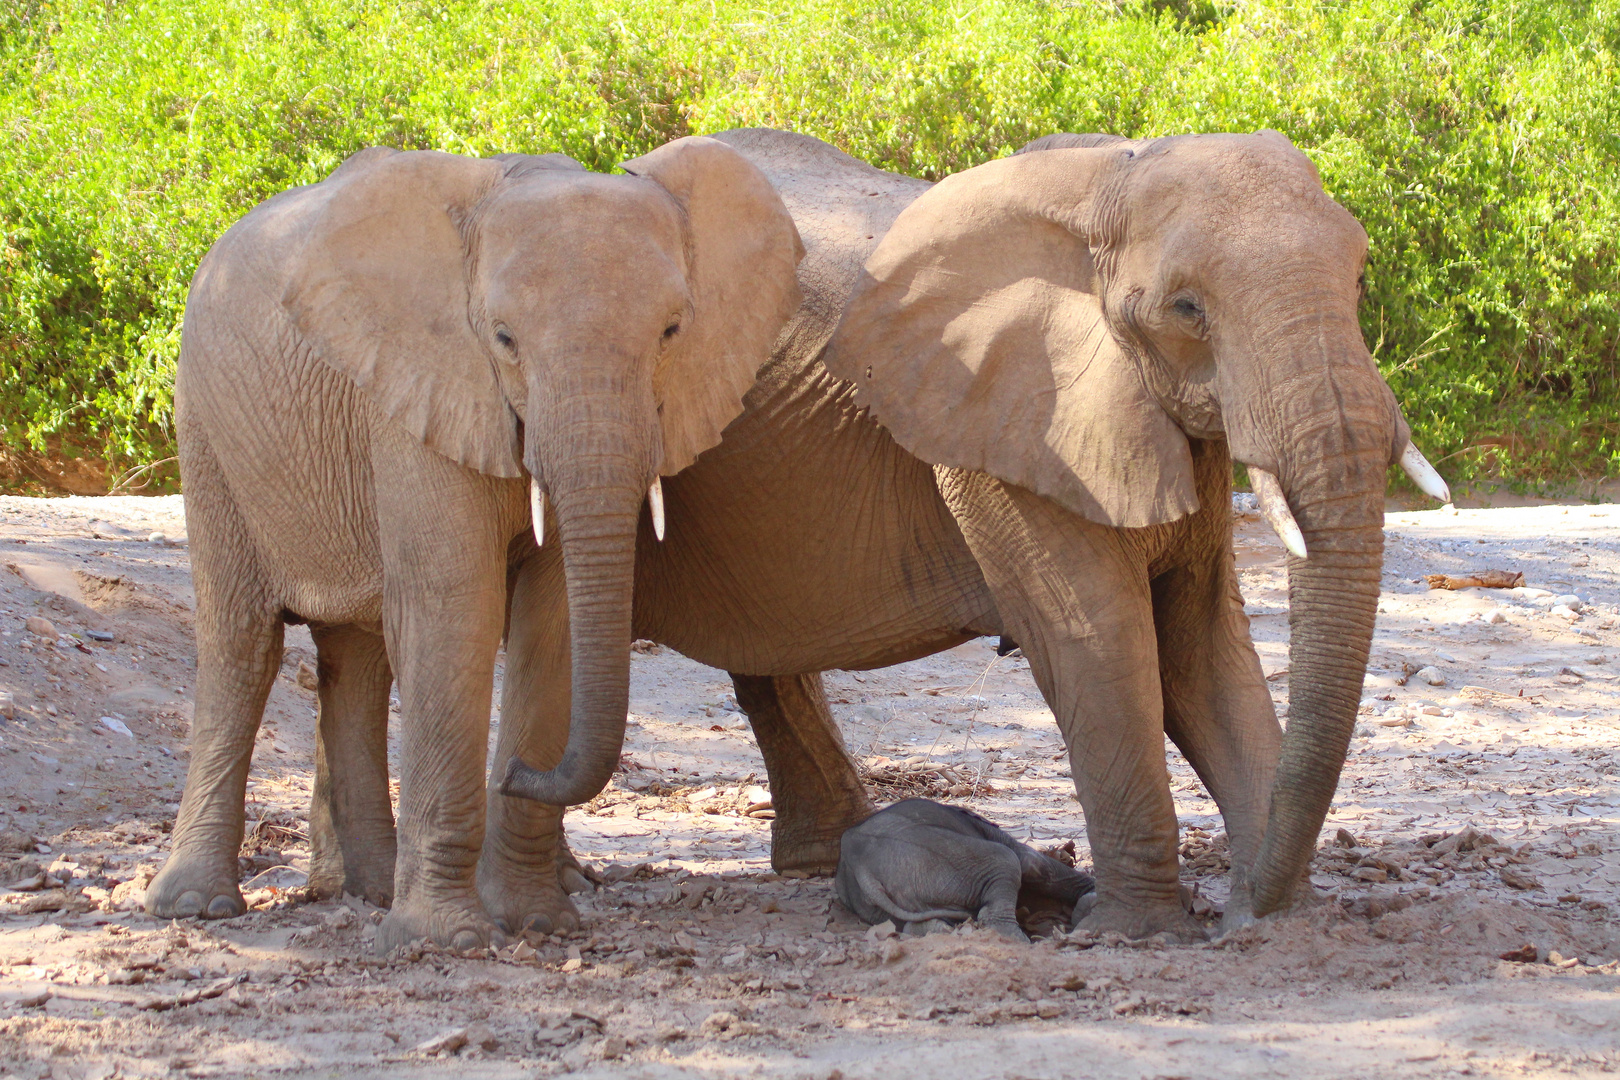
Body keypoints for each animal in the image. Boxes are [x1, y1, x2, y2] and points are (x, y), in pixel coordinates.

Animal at [142, 137, 800, 952]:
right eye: (504, 339)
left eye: (673, 333)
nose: (514, 770)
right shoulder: (419, 390)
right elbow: (455, 607)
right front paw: (445, 941)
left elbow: (550, 620)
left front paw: (537, 921)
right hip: (206, 428)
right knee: (242, 644)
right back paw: (196, 906)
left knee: (356, 656)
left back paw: (363, 889)